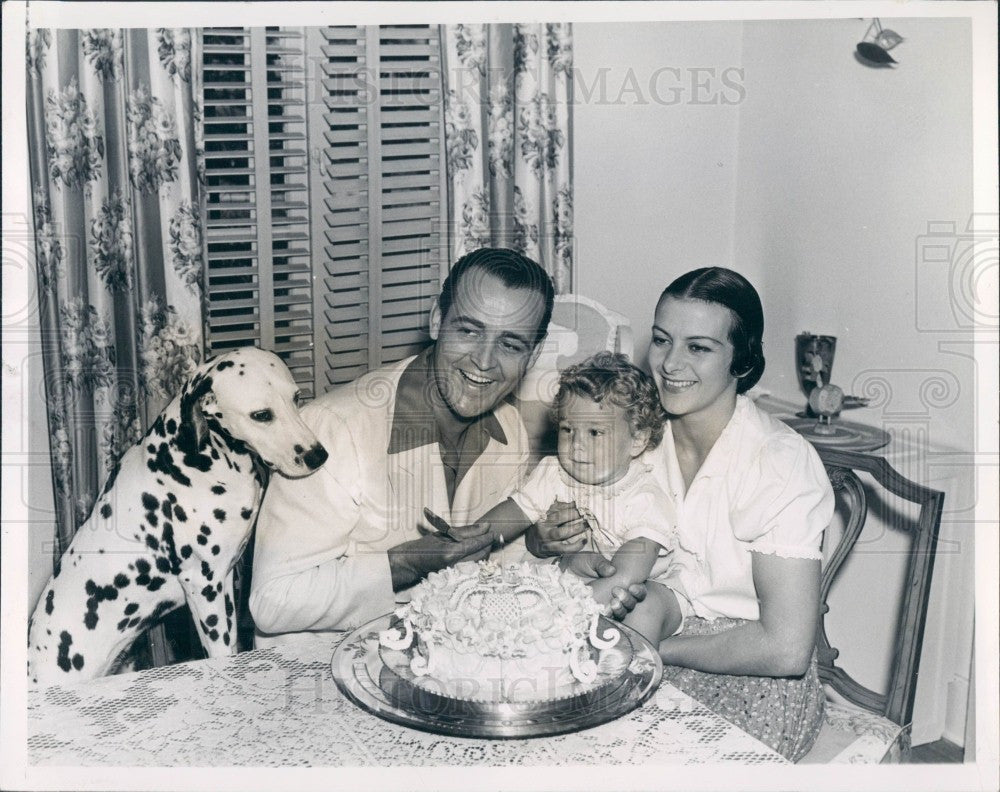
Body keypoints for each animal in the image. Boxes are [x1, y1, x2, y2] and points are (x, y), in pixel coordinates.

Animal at [27, 350, 328, 684]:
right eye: (261, 415)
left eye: (296, 398)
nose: (318, 455)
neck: (191, 462)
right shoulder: (203, 586)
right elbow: (220, 651)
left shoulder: (225, 582)